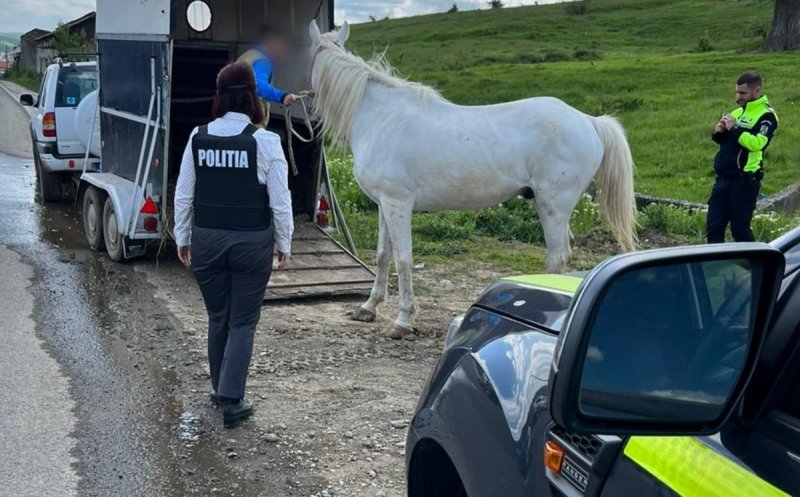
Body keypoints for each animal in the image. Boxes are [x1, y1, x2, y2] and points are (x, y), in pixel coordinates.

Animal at [308, 19, 636, 338]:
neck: (381, 117)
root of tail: (589, 121)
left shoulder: (397, 204)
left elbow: (403, 259)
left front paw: (402, 320)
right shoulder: (384, 205)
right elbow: (382, 255)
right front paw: (368, 307)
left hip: (552, 207)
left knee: (557, 258)